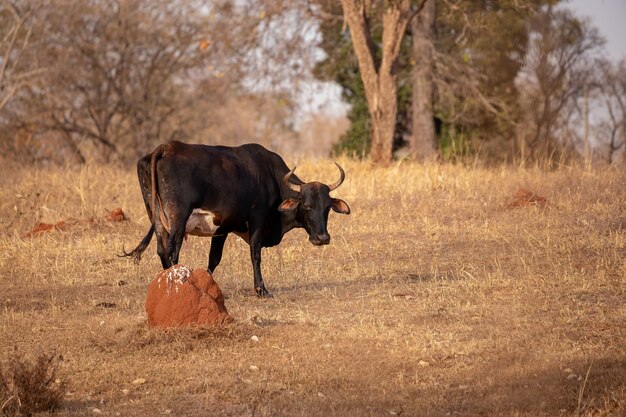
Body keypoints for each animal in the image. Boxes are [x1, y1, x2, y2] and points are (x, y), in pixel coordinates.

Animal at [124, 141, 348, 296]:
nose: (322, 238)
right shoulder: (257, 220)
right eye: (307, 206)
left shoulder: (222, 228)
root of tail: (166, 147)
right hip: (178, 219)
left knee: (162, 250)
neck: (270, 176)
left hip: (157, 218)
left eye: (327, 207)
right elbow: (255, 255)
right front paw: (261, 290)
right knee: (171, 251)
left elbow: (214, 259)